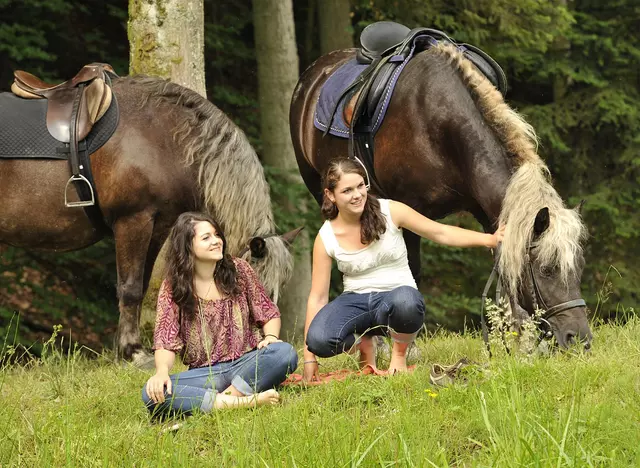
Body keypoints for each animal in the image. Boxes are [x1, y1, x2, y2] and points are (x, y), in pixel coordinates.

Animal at [0, 75, 292, 364]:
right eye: (258, 287)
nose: (263, 343)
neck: (162, 136)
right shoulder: (133, 222)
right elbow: (129, 288)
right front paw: (133, 351)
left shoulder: (159, 225)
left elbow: (140, 285)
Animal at [292, 40, 592, 350]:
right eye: (546, 269)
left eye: (580, 267)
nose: (579, 339)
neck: (441, 123)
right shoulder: (407, 208)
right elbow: (409, 272)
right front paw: (403, 343)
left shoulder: (487, 211)